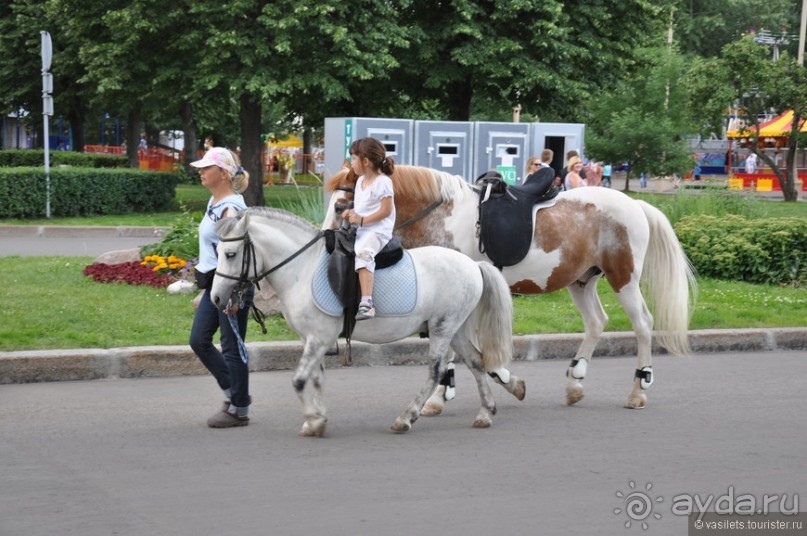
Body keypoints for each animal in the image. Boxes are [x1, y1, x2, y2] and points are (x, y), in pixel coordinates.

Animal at [211, 205, 516, 436]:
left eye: (230, 254)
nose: (215, 298)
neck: (303, 268)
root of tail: (473, 264)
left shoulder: (318, 338)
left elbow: (299, 380)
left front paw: (312, 418)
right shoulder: (313, 339)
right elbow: (316, 377)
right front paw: (318, 419)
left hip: (442, 328)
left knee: (436, 370)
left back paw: (406, 417)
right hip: (456, 329)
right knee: (476, 362)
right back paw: (485, 412)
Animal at [326, 165, 696, 408]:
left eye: (342, 205)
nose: (328, 239)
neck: (442, 216)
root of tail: (636, 204)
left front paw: (445, 394)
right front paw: (456, 388)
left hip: (623, 278)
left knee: (643, 325)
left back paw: (639, 388)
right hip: (581, 280)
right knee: (596, 322)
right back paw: (575, 382)